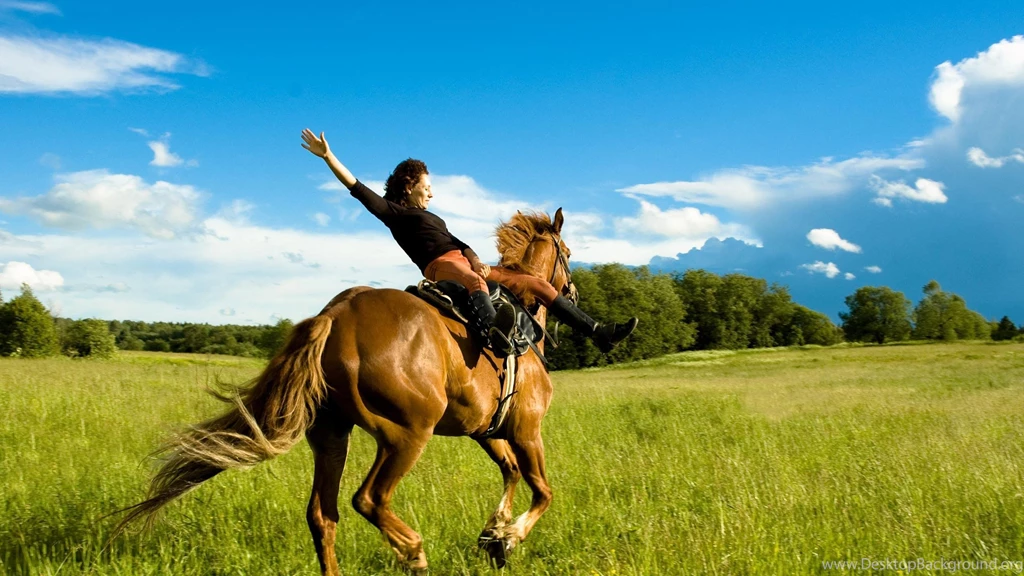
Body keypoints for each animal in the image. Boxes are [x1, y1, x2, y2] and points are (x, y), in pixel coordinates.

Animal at [116, 209, 576, 575]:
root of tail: (335, 315)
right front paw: (508, 536)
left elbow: (510, 471)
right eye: (569, 255)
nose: (572, 291)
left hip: (331, 436)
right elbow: (543, 490)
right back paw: (413, 551)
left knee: (323, 515)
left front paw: (494, 533)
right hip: (405, 436)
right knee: (368, 499)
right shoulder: (526, 429)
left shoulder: (487, 430)